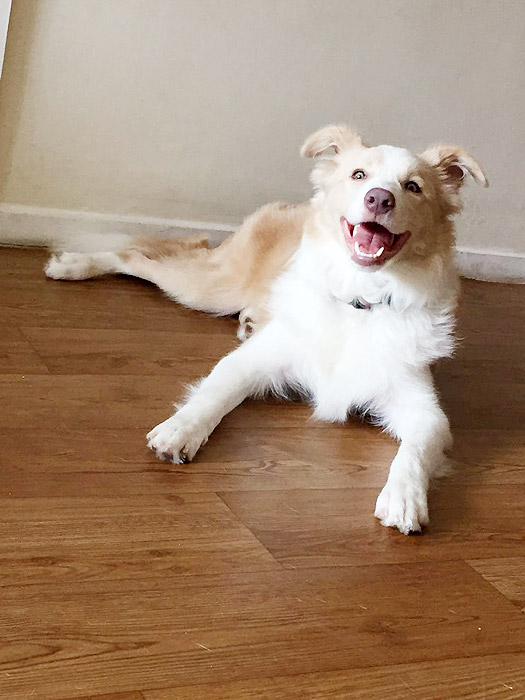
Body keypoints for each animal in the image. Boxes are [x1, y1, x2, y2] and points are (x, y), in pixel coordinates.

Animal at [45, 124, 488, 534]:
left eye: (413, 187)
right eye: (359, 175)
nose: (379, 199)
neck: (360, 301)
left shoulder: (422, 407)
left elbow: (415, 449)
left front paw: (404, 497)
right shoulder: (253, 361)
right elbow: (214, 394)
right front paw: (180, 430)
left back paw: (250, 319)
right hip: (210, 288)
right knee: (135, 256)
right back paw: (73, 264)